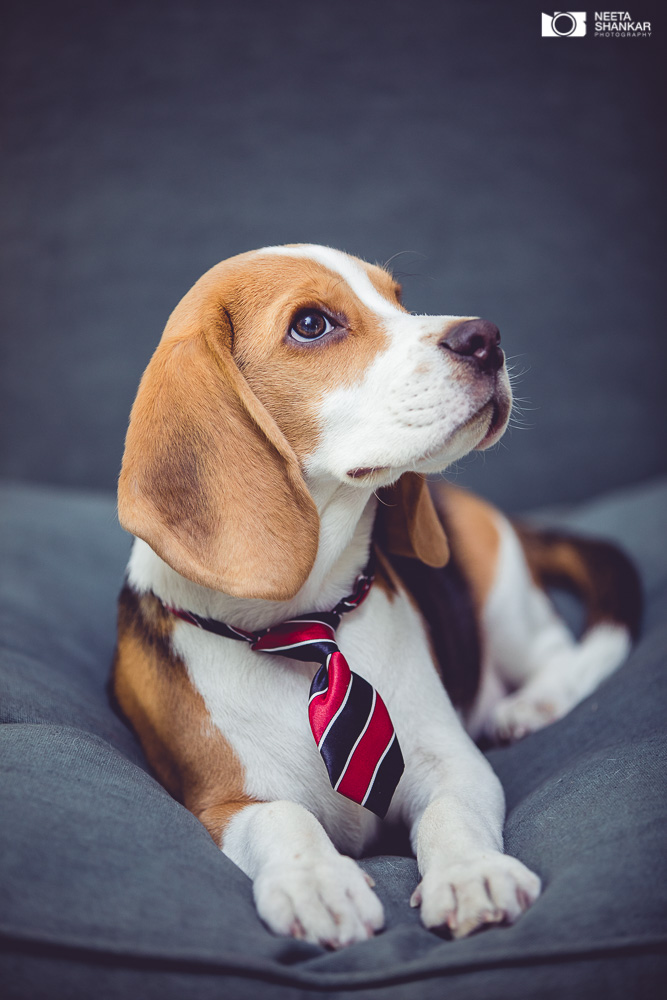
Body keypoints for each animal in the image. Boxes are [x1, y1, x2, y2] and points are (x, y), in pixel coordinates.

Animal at [112, 242, 640, 944]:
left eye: (398, 298)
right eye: (311, 324)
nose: (486, 337)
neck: (308, 626)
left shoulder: (451, 762)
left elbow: (451, 815)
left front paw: (471, 874)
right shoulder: (220, 803)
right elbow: (283, 819)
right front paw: (315, 881)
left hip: (503, 596)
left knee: (558, 652)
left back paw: (531, 706)